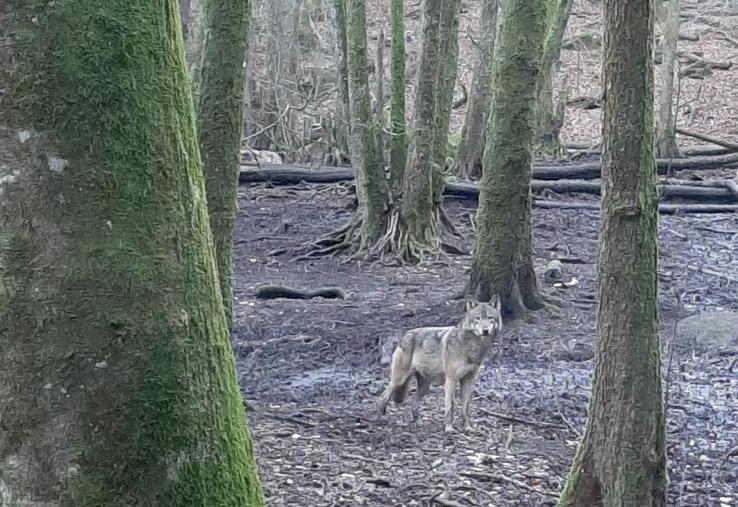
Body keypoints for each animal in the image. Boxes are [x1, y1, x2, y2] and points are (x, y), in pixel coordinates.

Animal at [374, 298, 500, 432]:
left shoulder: (468, 381)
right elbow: (451, 406)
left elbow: (466, 408)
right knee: (382, 397)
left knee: (413, 403)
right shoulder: (451, 380)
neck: (472, 347)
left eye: (490, 317)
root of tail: (404, 335)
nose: (485, 330)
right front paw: (449, 428)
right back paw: (380, 420)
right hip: (399, 380)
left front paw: (467, 427)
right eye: (477, 318)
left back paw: (418, 423)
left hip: (424, 387)